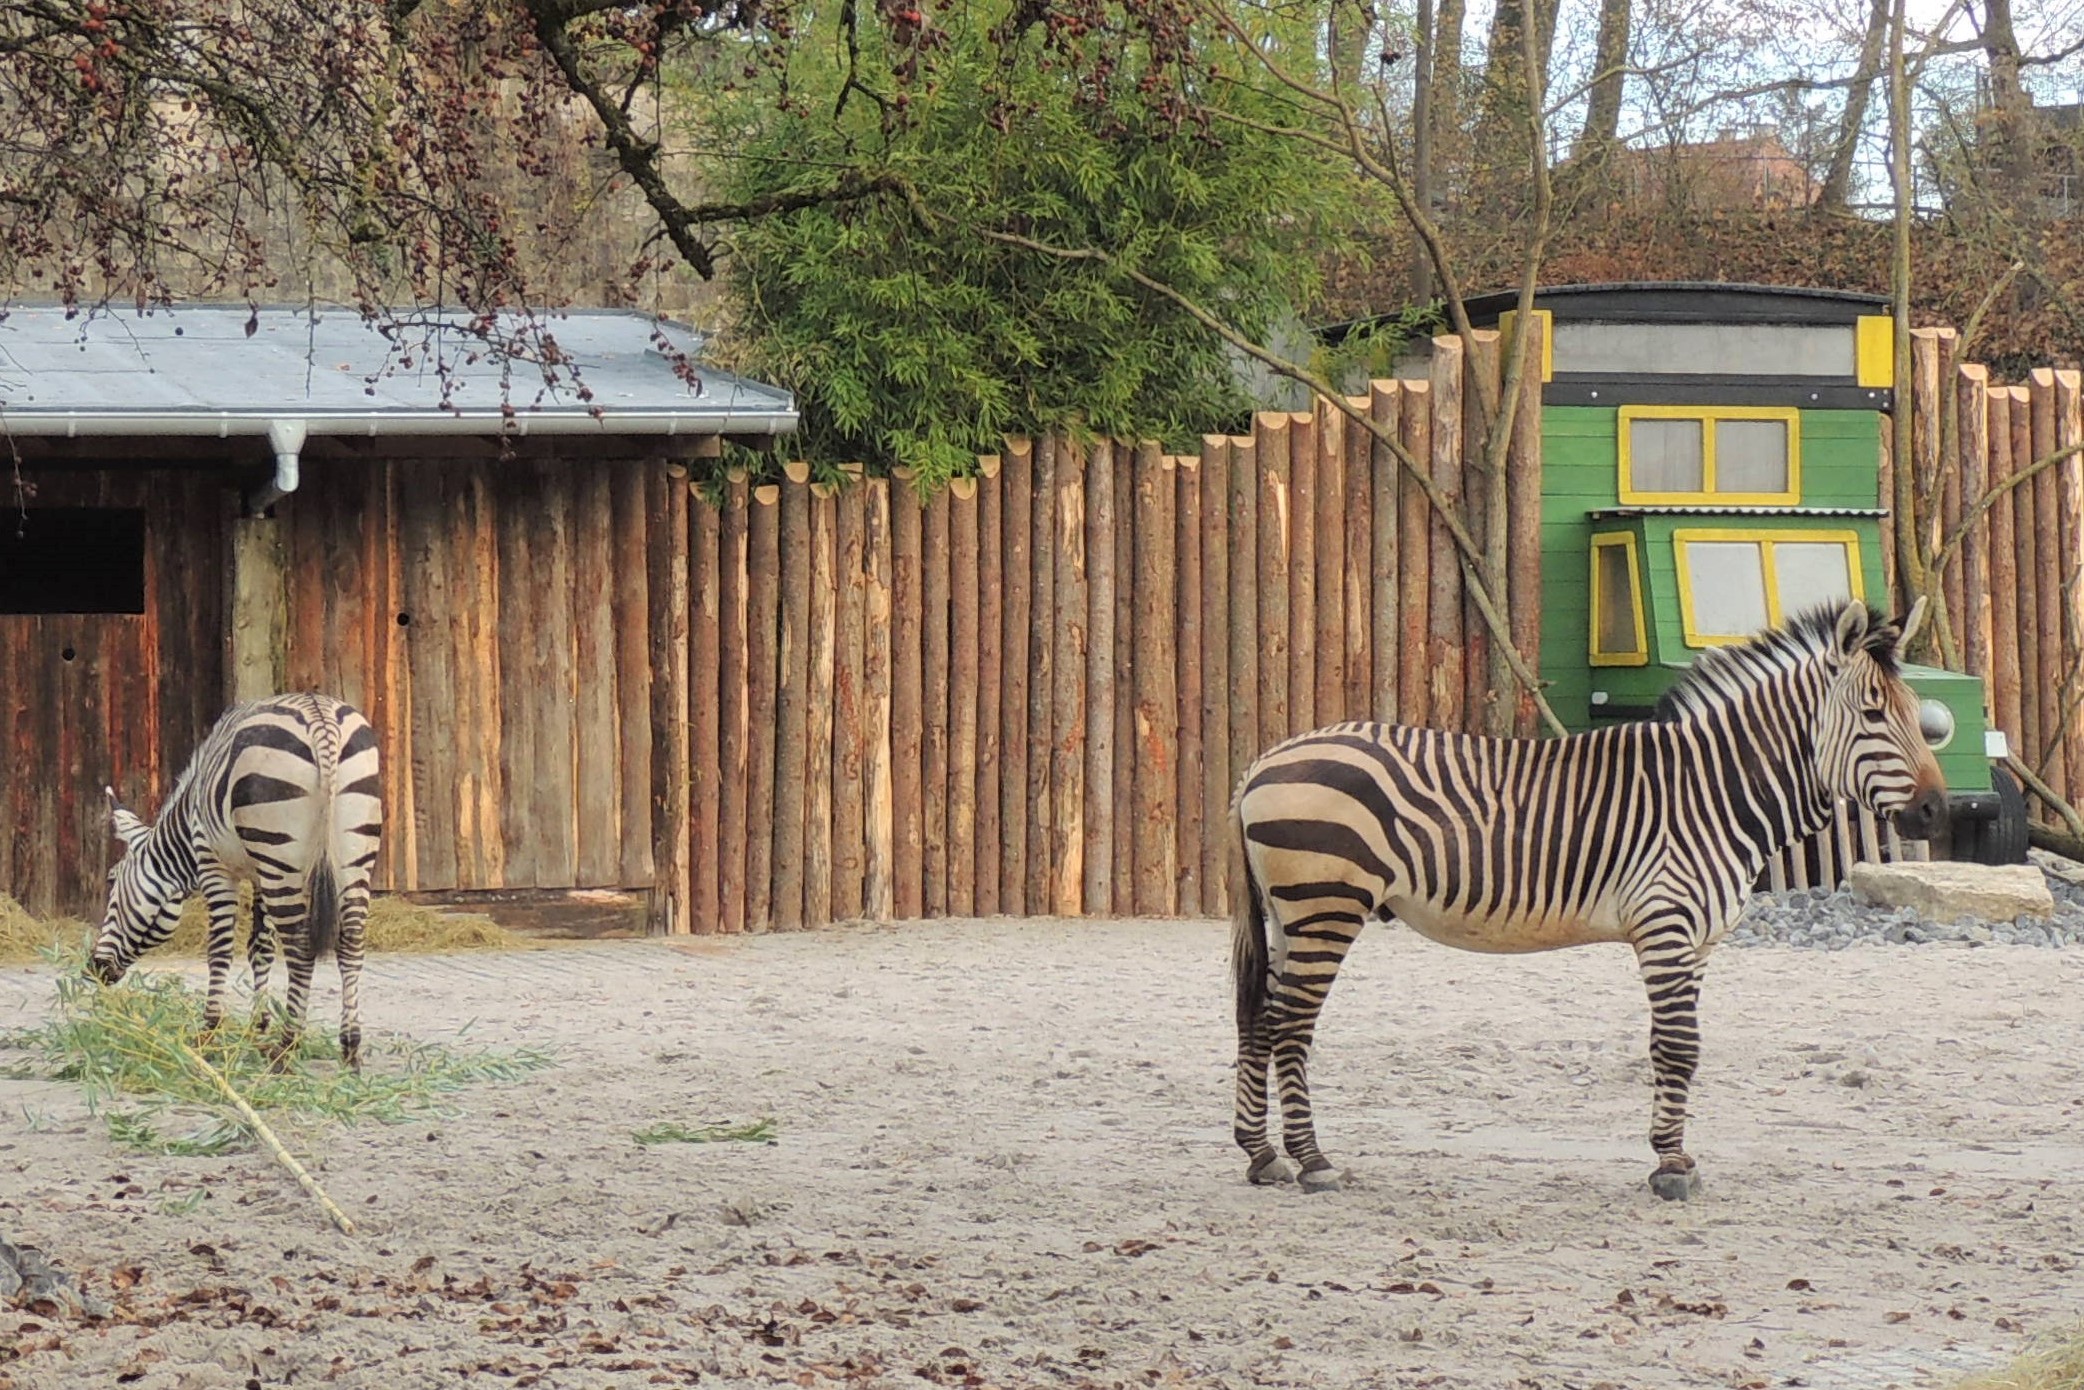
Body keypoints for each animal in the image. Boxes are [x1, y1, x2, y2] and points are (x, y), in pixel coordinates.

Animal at [90, 696, 387, 1075]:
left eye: (112, 882)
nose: (94, 968)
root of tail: (321, 720)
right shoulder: (260, 875)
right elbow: (259, 947)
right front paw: (257, 1029)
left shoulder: (213, 863)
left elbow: (219, 948)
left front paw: (209, 1033)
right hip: (350, 854)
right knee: (350, 944)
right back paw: (349, 1049)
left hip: (280, 851)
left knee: (300, 949)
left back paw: (286, 1048)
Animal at [1225, 604, 1942, 1200]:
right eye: (1874, 713)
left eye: (1919, 714)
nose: (1938, 810)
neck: (1713, 789)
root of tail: (1262, 760)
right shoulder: (1666, 924)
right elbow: (1677, 1046)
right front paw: (1670, 1168)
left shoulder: (1699, 940)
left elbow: (1679, 1045)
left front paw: (1675, 1157)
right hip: (1326, 906)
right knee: (1290, 1026)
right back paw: (1313, 1161)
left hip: (1290, 915)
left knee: (1259, 1019)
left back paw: (1262, 1156)